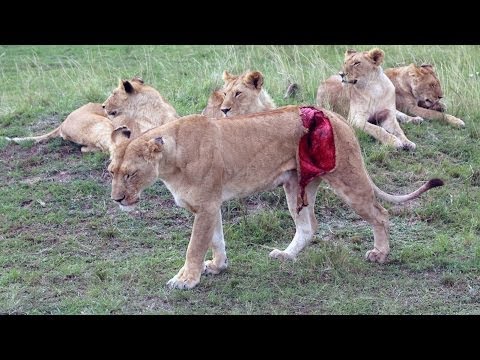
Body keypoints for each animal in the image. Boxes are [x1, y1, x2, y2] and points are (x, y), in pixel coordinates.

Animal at [108, 105, 442, 290]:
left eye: (131, 174)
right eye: (111, 172)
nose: (117, 200)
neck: (170, 160)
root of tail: (337, 116)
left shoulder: (205, 206)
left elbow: (195, 246)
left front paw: (185, 280)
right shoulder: (211, 205)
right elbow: (216, 239)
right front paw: (217, 266)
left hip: (348, 179)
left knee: (380, 214)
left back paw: (380, 254)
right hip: (295, 185)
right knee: (308, 226)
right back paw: (286, 255)